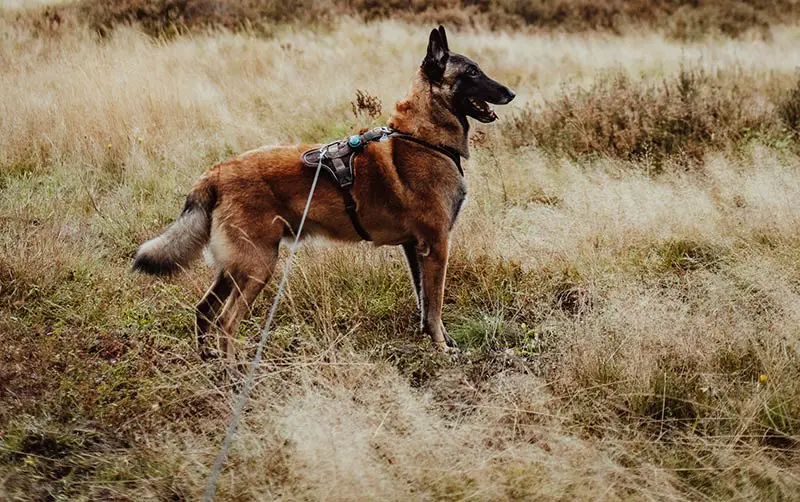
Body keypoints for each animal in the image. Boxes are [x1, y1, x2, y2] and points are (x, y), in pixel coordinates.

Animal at [131, 25, 516, 362]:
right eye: (472, 72)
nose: (511, 93)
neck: (422, 137)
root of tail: (216, 172)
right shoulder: (436, 246)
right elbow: (434, 306)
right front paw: (442, 350)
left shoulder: (415, 248)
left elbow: (424, 303)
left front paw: (441, 341)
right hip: (257, 265)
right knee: (226, 322)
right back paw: (233, 371)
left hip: (236, 267)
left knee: (204, 310)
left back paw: (207, 360)